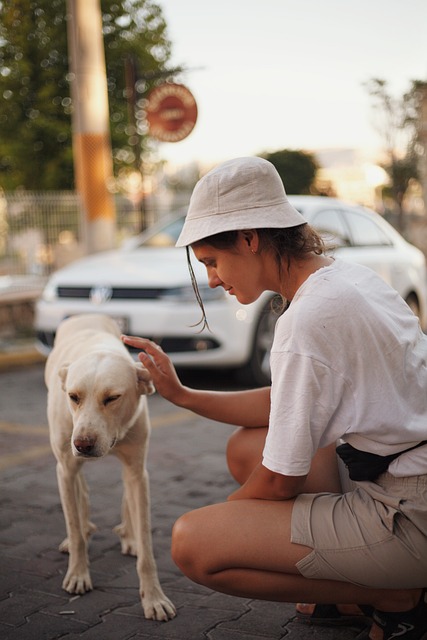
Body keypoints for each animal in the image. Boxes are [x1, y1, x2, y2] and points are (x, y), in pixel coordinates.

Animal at [45, 314, 176, 620]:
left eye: (112, 398)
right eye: (74, 396)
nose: (82, 444)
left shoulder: (137, 471)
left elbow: (147, 546)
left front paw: (153, 597)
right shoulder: (65, 467)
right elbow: (74, 527)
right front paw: (78, 574)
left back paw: (129, 536)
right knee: (80, 492)